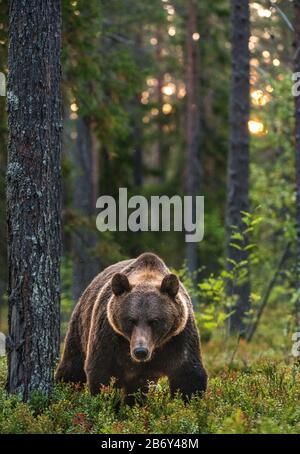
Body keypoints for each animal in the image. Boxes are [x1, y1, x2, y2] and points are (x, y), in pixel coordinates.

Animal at [55, 252, 206, 404]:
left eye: (154, 321)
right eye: (131, 320)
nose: (140, 351)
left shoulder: (179, 337)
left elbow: (188, 377)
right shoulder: (109, 336)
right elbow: (103, 373)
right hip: (81, 325)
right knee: (73, 367)